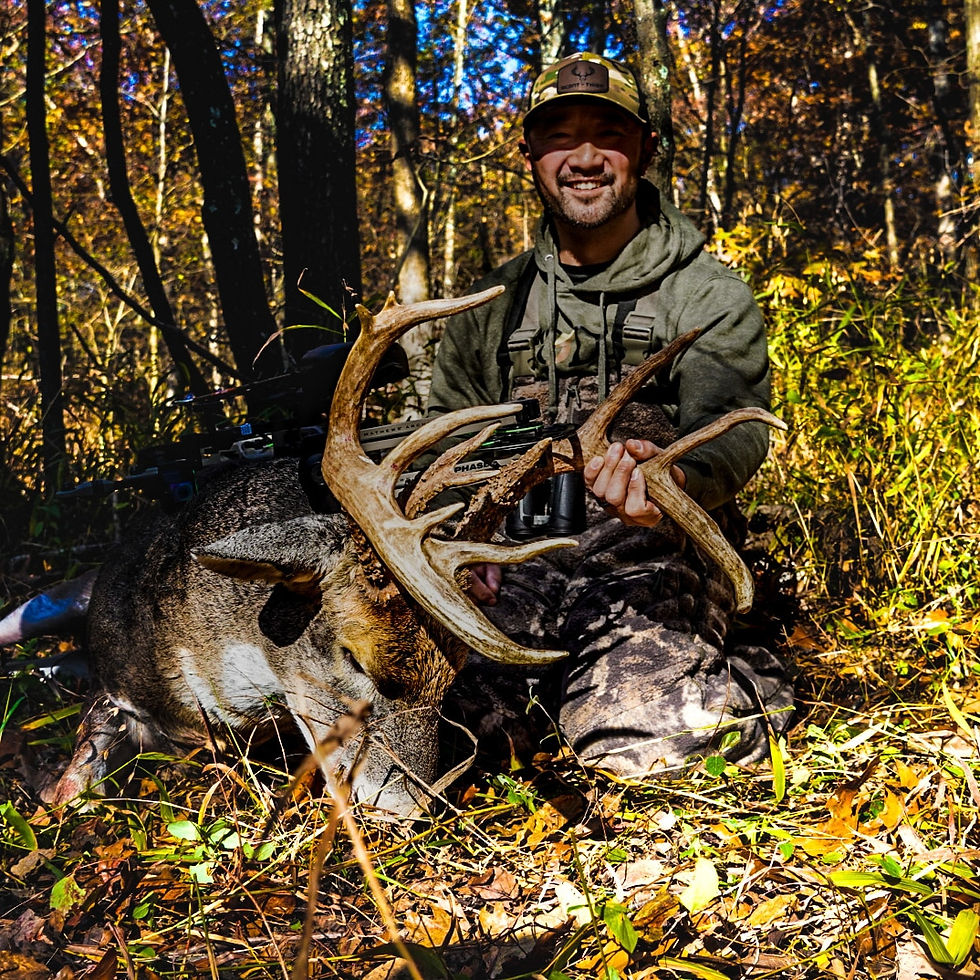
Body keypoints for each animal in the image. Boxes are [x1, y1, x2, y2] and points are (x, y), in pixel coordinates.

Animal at [0, 285, 784, 814]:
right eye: (352, 658)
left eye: (452, 677)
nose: (410, 808)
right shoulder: (124, 686)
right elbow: (83, 764)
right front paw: (53, 796)